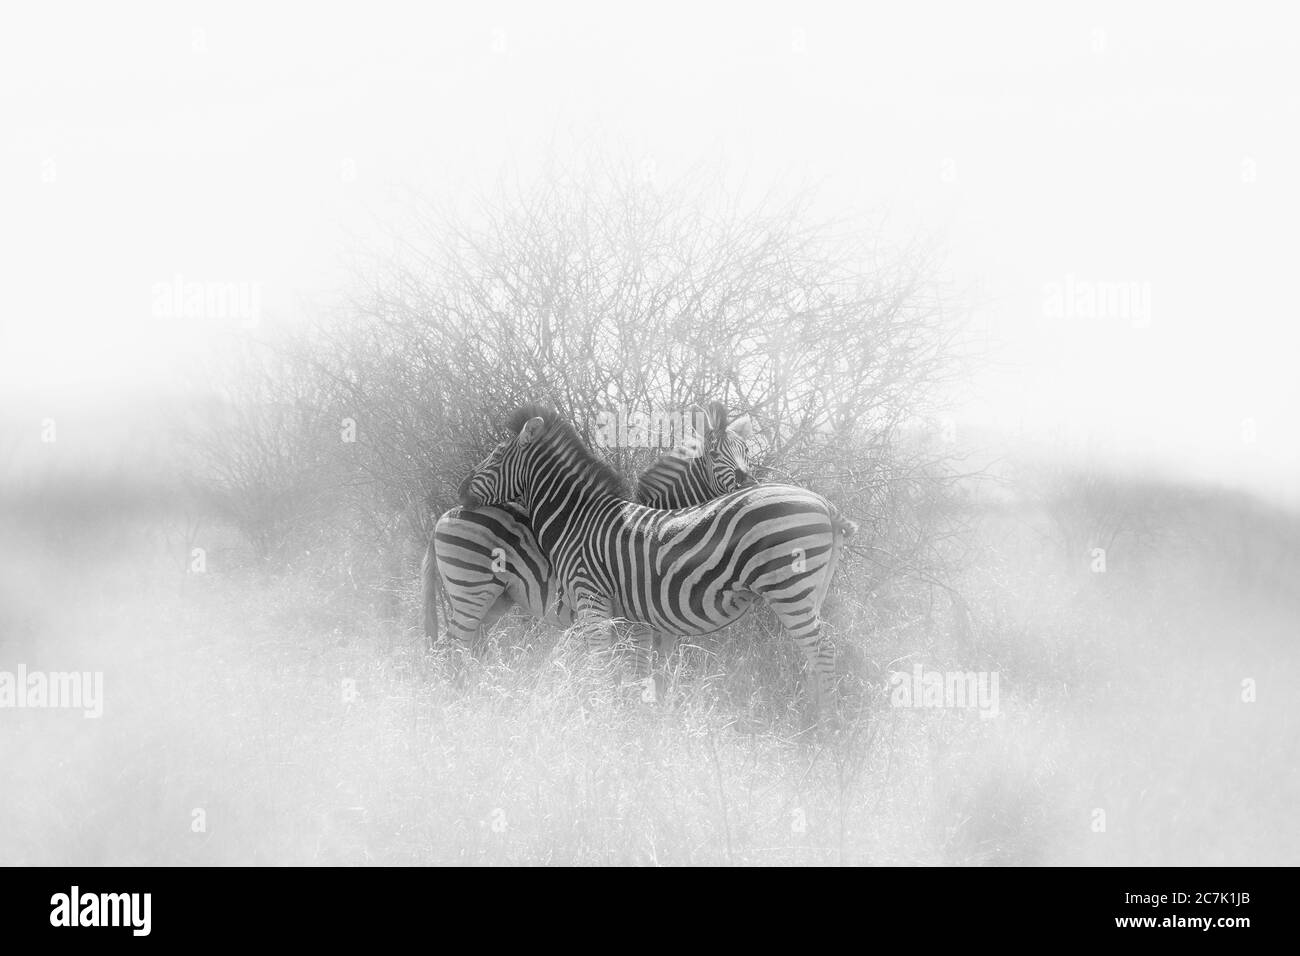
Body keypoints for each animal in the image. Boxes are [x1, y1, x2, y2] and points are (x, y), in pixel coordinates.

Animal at [421, 400, 759, 647]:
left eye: (747, 453)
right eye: (715, 454)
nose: (750, 484)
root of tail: (445, 516)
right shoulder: (636, 620)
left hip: (493, 600)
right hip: (471, 590)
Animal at [460, 403, 863, 712]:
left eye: (496, 455)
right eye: (716, 453)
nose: (462, 490)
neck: (577, 520)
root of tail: (825, 504)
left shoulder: (594, 600)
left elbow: (603, 666)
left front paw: (603, 717)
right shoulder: (645, 618)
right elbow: (647, 671)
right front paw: (646, 716)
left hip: (790, 590)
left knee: (822, 651)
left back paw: (827, 727)